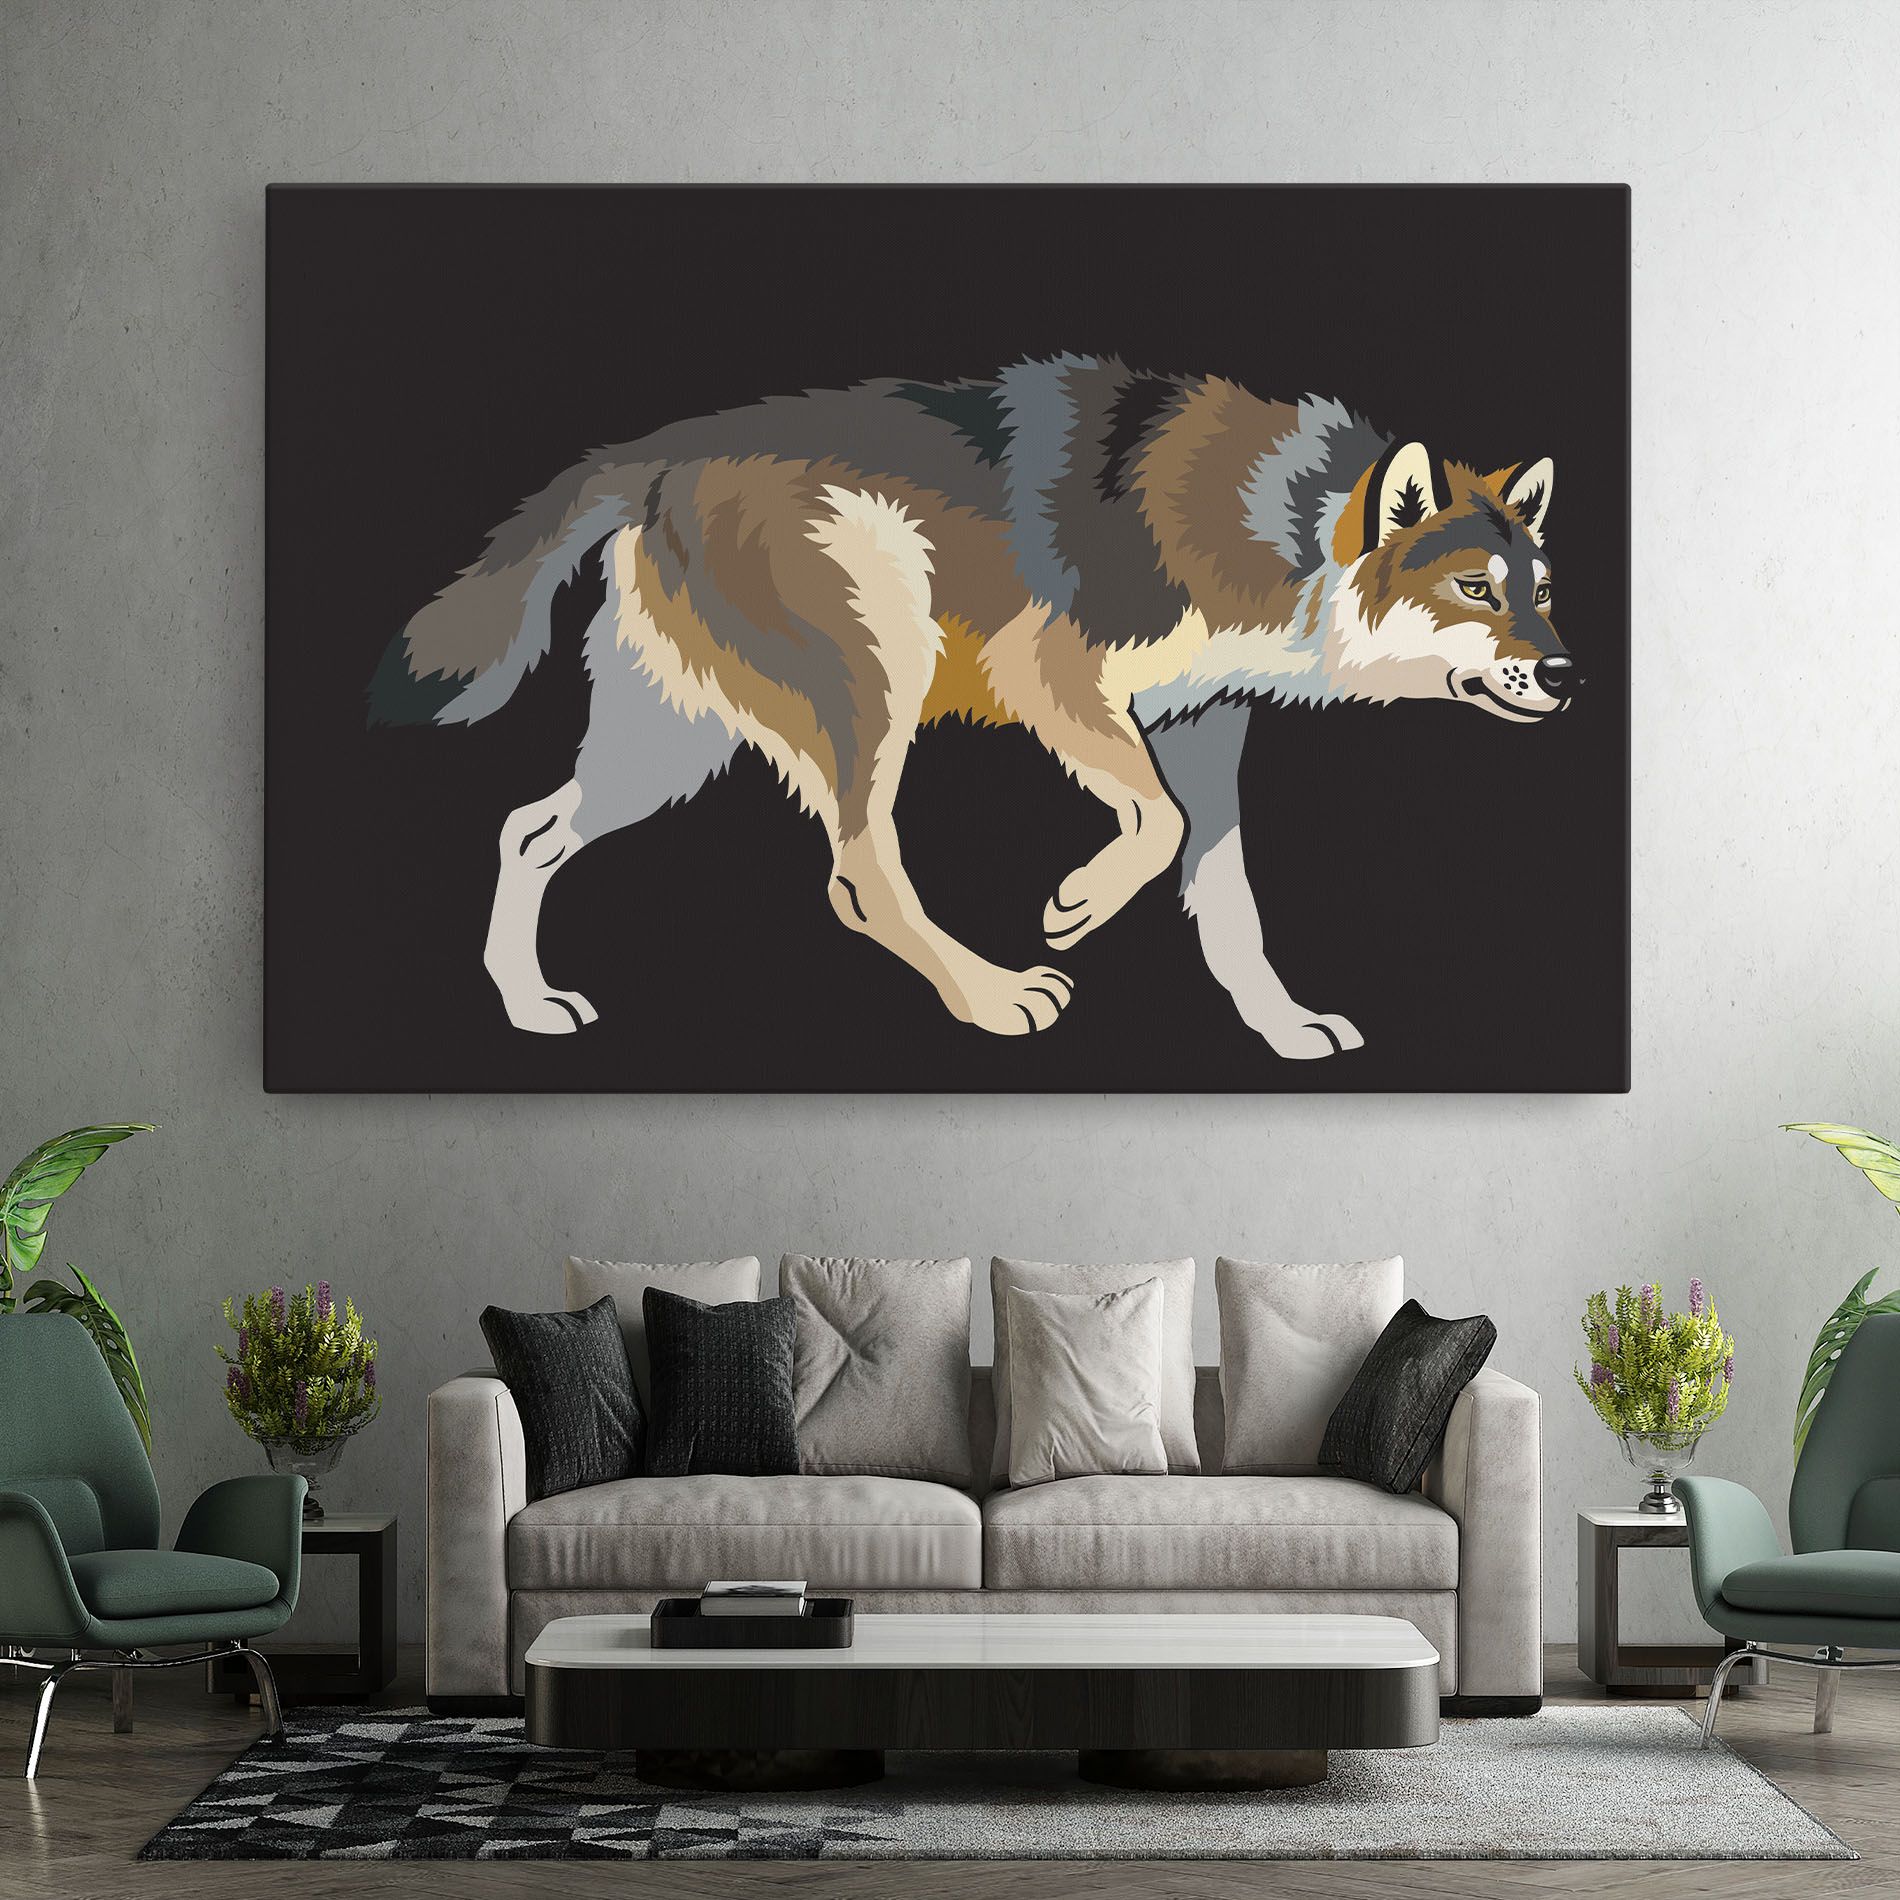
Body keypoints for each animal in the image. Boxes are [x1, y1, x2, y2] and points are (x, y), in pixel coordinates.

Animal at [369, 355, 1574, 1058]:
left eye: (1544, 592)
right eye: (1476, 591)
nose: (1568, 677)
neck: (1289, 529)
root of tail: (650, 451)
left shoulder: (1203, 725)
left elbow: (1226, 896)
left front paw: (1282, 1027)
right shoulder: (1051, 674)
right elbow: (1156, 826)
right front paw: (1076, 903)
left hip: (669, 749)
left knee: (527, 830)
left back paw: (526, 1006)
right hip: (873, 679)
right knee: (858, 873)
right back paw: (992, 998)